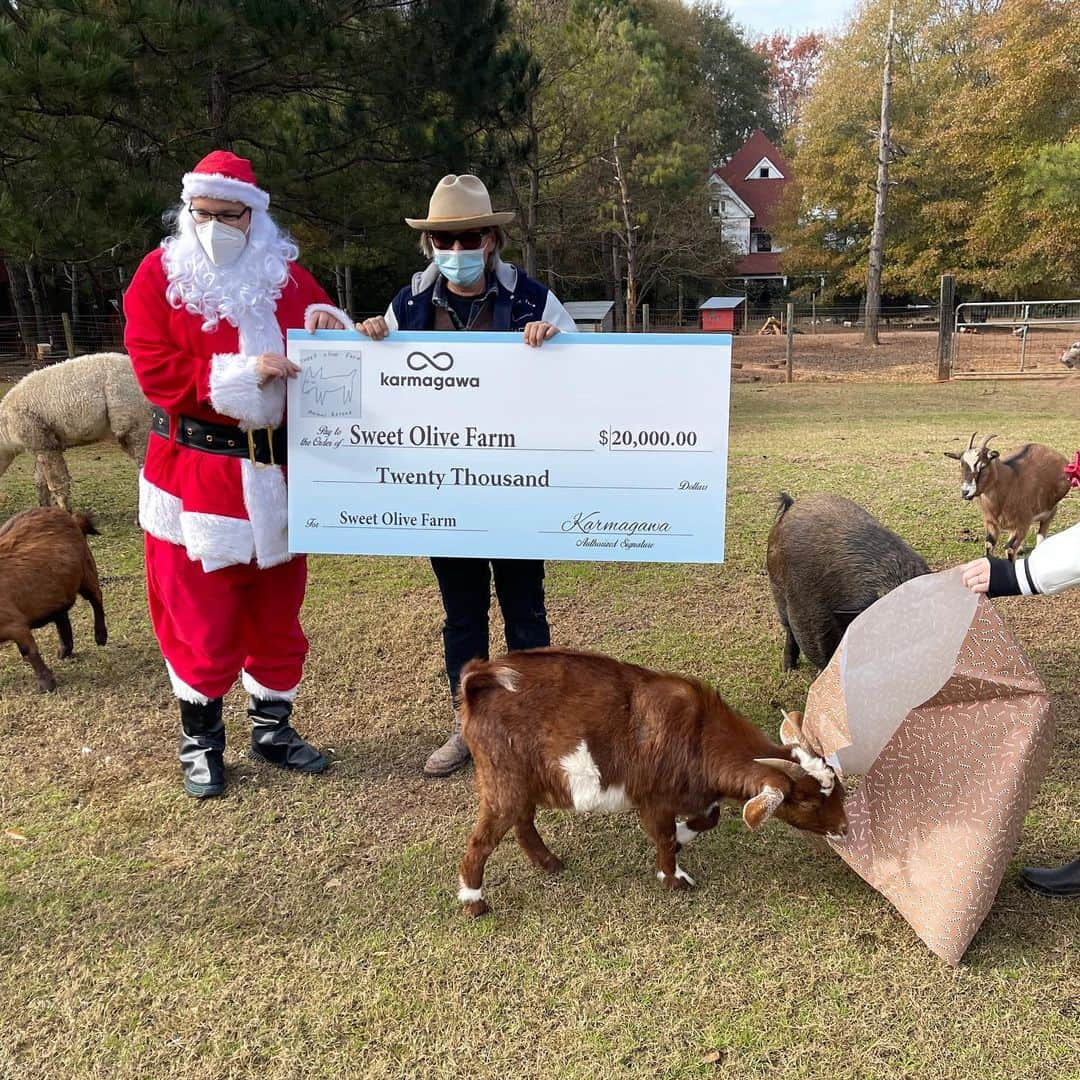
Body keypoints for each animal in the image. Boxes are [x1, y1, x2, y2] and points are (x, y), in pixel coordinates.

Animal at [0, 349, 152, 509]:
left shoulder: (43, 442)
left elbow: (57, 484)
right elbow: (40, 483)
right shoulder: (40, 445)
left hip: (134, 419)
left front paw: (66, 511)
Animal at [0, 507, 107, 691]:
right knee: (61, 614)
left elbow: (28, 651)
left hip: (86, 571)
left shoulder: (14, 624)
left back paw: (100, 636)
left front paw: (46, 684)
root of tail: (72, 518)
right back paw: (65, 649)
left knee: (96, 597)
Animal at [451, 643, 846, 915]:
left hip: (523, 780)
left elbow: (709, 817)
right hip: (502, 779)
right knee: (481, 841)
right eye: (807, 800)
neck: (699, 735)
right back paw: (474, 902)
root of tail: (478, 684)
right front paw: (674, 878)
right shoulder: (654, 798)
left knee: (522, 823)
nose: (843, 828)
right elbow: (665, 836)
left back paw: (549, 863)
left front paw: (685, 838)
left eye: (837, 788)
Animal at [946, 432, 1071, 561]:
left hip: (1050, 510)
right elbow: (989, 544)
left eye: (983, 466)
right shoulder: (991, 522)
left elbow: (1009, 549)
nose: (965, 492)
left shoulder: (1023, 522)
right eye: (961, 465)